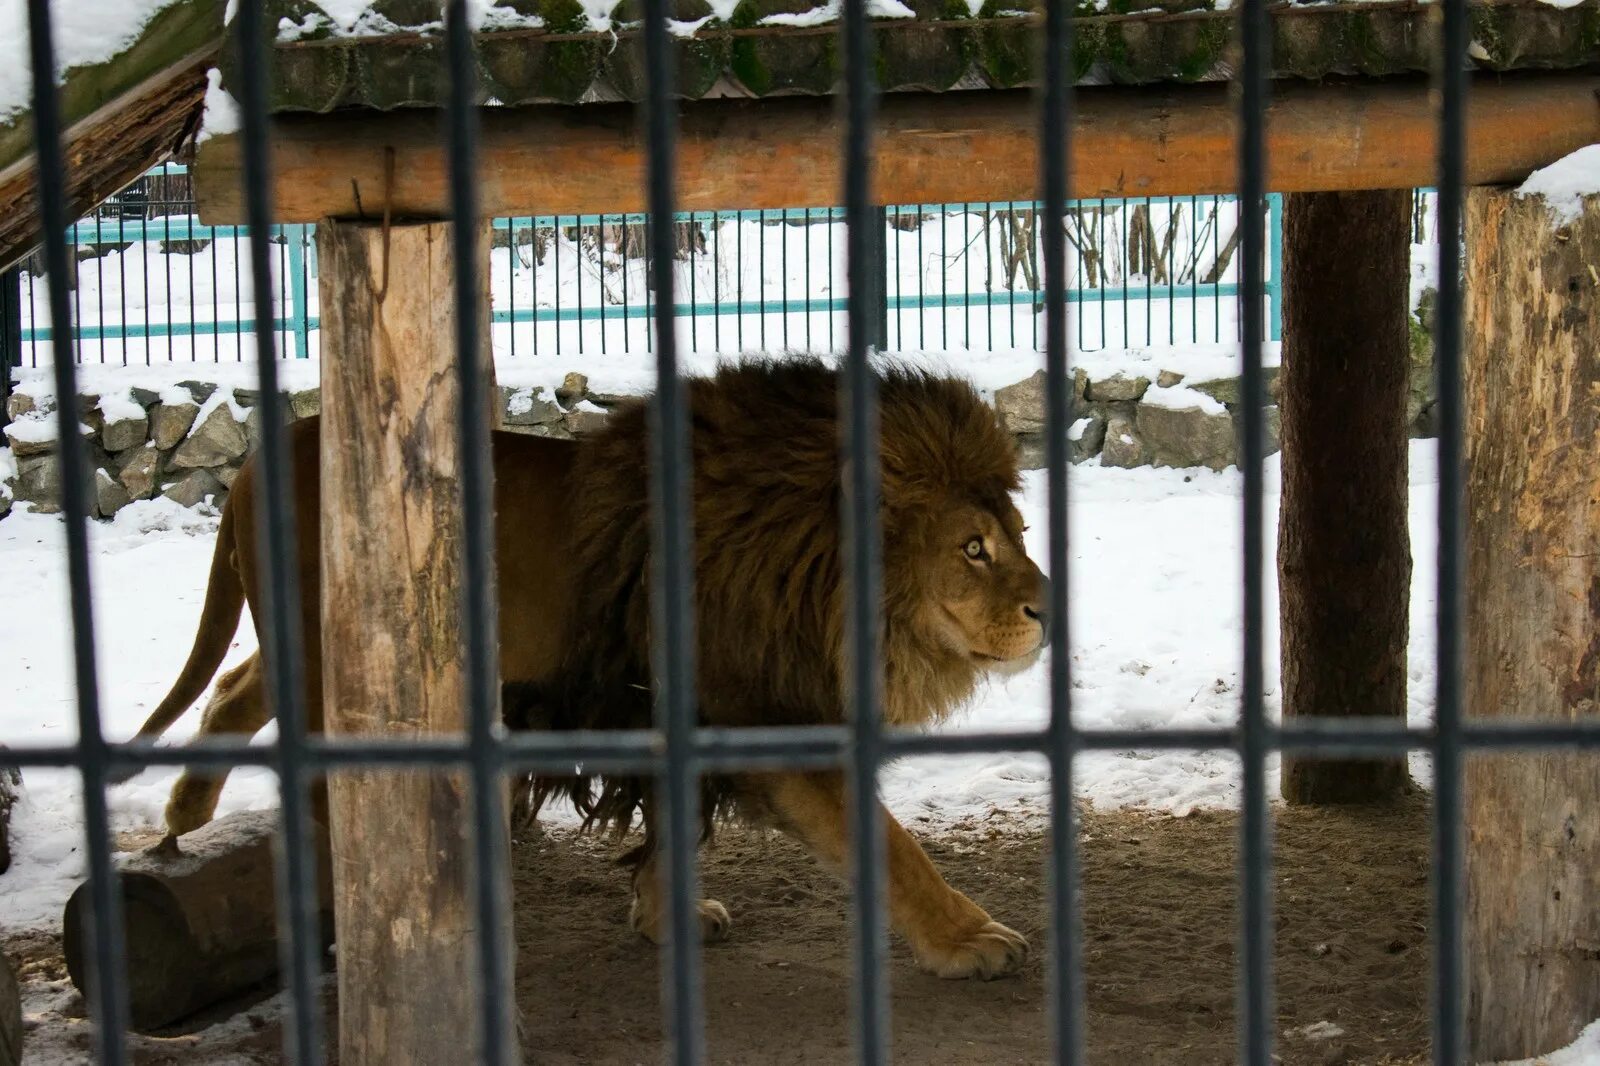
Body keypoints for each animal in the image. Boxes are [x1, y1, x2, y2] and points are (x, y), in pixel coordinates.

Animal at [124, 355, 1049, 979]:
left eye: (1019, 535)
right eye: (974, 548)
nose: (1048, 606)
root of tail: (255, 458)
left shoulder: (674, 713)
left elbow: (673, 829)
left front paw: (665, 920)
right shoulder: (767, 720)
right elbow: (890, 845)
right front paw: (970, 940)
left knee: (234, 686)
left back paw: (185, 810)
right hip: (335, 666)